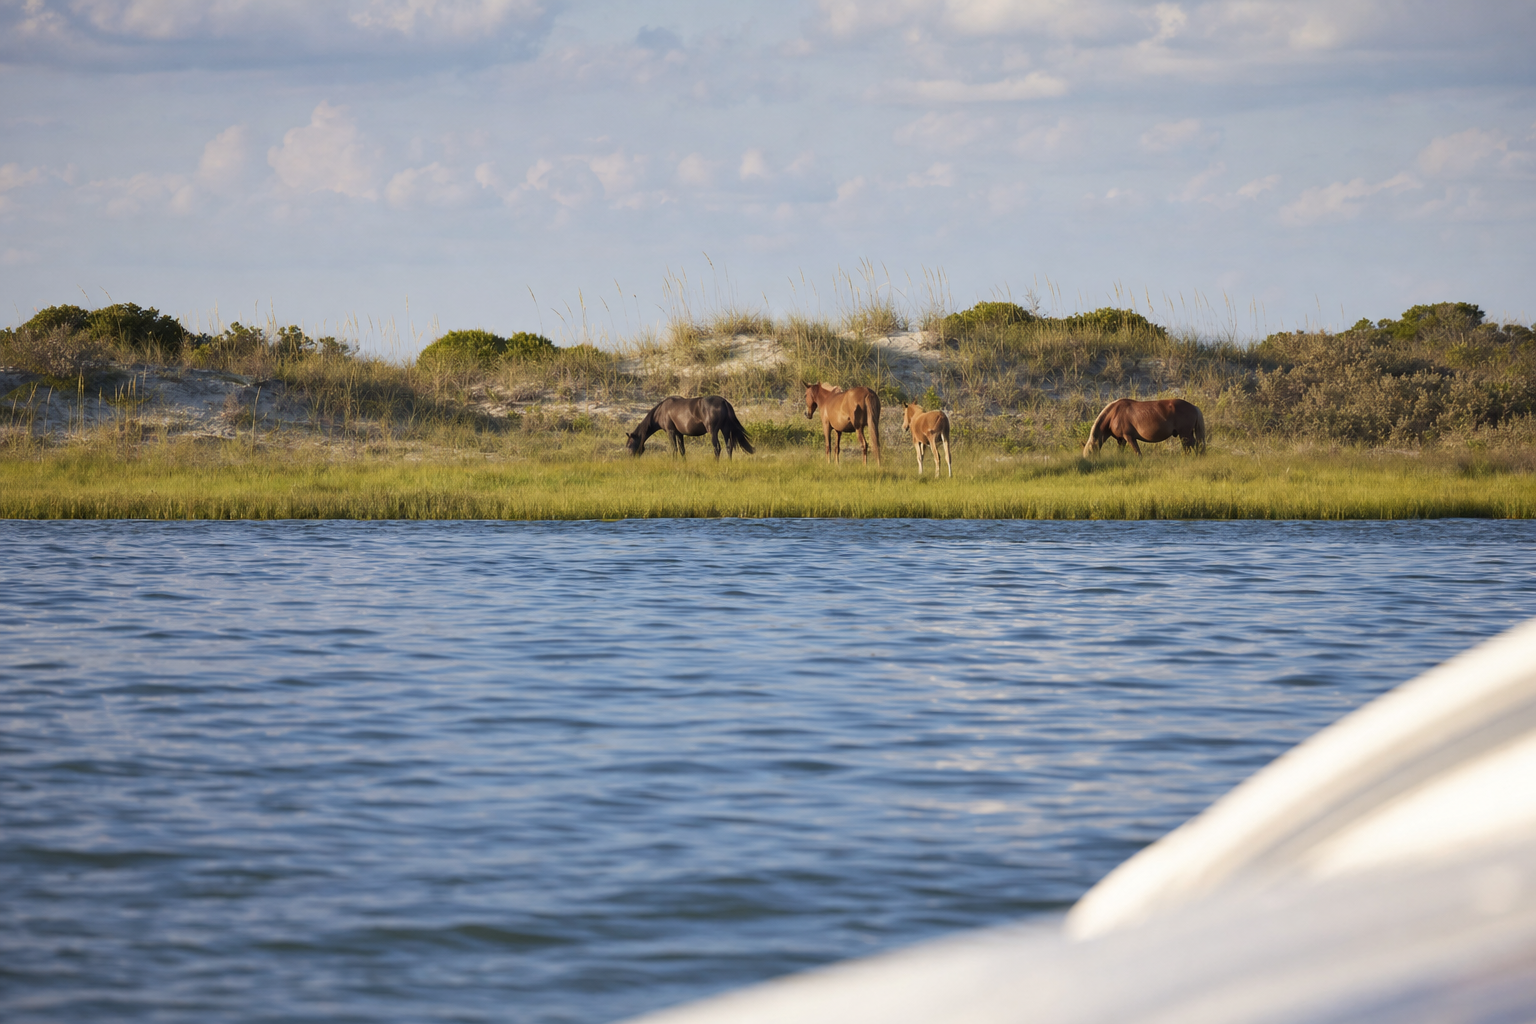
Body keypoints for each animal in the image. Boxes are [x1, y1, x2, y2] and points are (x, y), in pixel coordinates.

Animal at [626, 396, 755, 459]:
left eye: (629, 445)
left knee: (717, 448)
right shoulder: (679, 433)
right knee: (729, 447)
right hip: (725, 430)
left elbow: (674, 449)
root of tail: (724, 402)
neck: (661, 411)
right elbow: (682, 450)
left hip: (713, 431)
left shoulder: (670, 432)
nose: (631, 459)